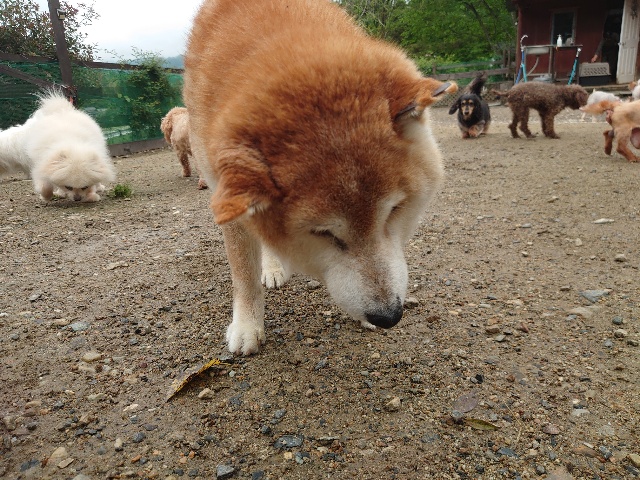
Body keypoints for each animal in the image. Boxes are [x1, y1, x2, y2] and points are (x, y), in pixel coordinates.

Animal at [183, 0, 457, 355]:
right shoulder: (224, 194)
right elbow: (243, 273)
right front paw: (246, 326)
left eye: (395, 211)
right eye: (323, 233)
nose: (388, 316)